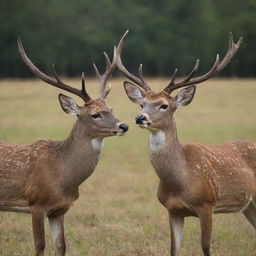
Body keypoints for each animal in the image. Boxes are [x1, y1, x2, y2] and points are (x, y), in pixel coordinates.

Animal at [0, 34, 128, 256]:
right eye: (95, 114)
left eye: (111, 109)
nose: (124, 125)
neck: (62, 178)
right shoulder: (36, 203)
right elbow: (40, 245)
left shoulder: (60, 209)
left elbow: (61, 245)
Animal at [117, 32, 254, 256]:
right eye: (142, 104)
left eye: (164, 105)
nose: (140, 118)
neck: (181, 180)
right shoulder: (173, 210)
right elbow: (174, 249)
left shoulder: (207, 204)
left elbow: (206, 247)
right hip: (250, 205)